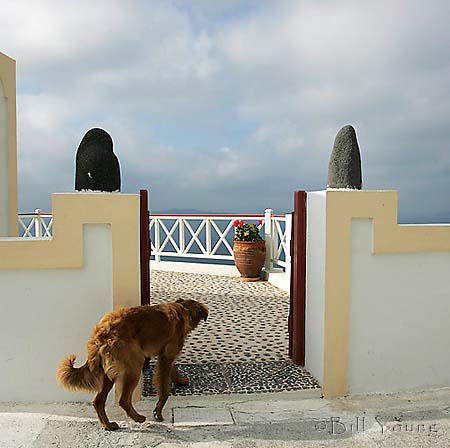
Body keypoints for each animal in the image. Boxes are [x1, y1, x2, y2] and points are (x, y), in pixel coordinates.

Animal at [56, 300, 209, 428]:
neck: (183, 309)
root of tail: (101, 333)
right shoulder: (166, 358)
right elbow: (164, 390)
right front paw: (158, 412)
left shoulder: (165, 357)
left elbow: (173, 370)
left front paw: (180, 380)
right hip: (134, 366)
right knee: (123, 400)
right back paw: (138, 418)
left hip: (109, 373)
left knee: (99, 400)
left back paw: (109, 426)